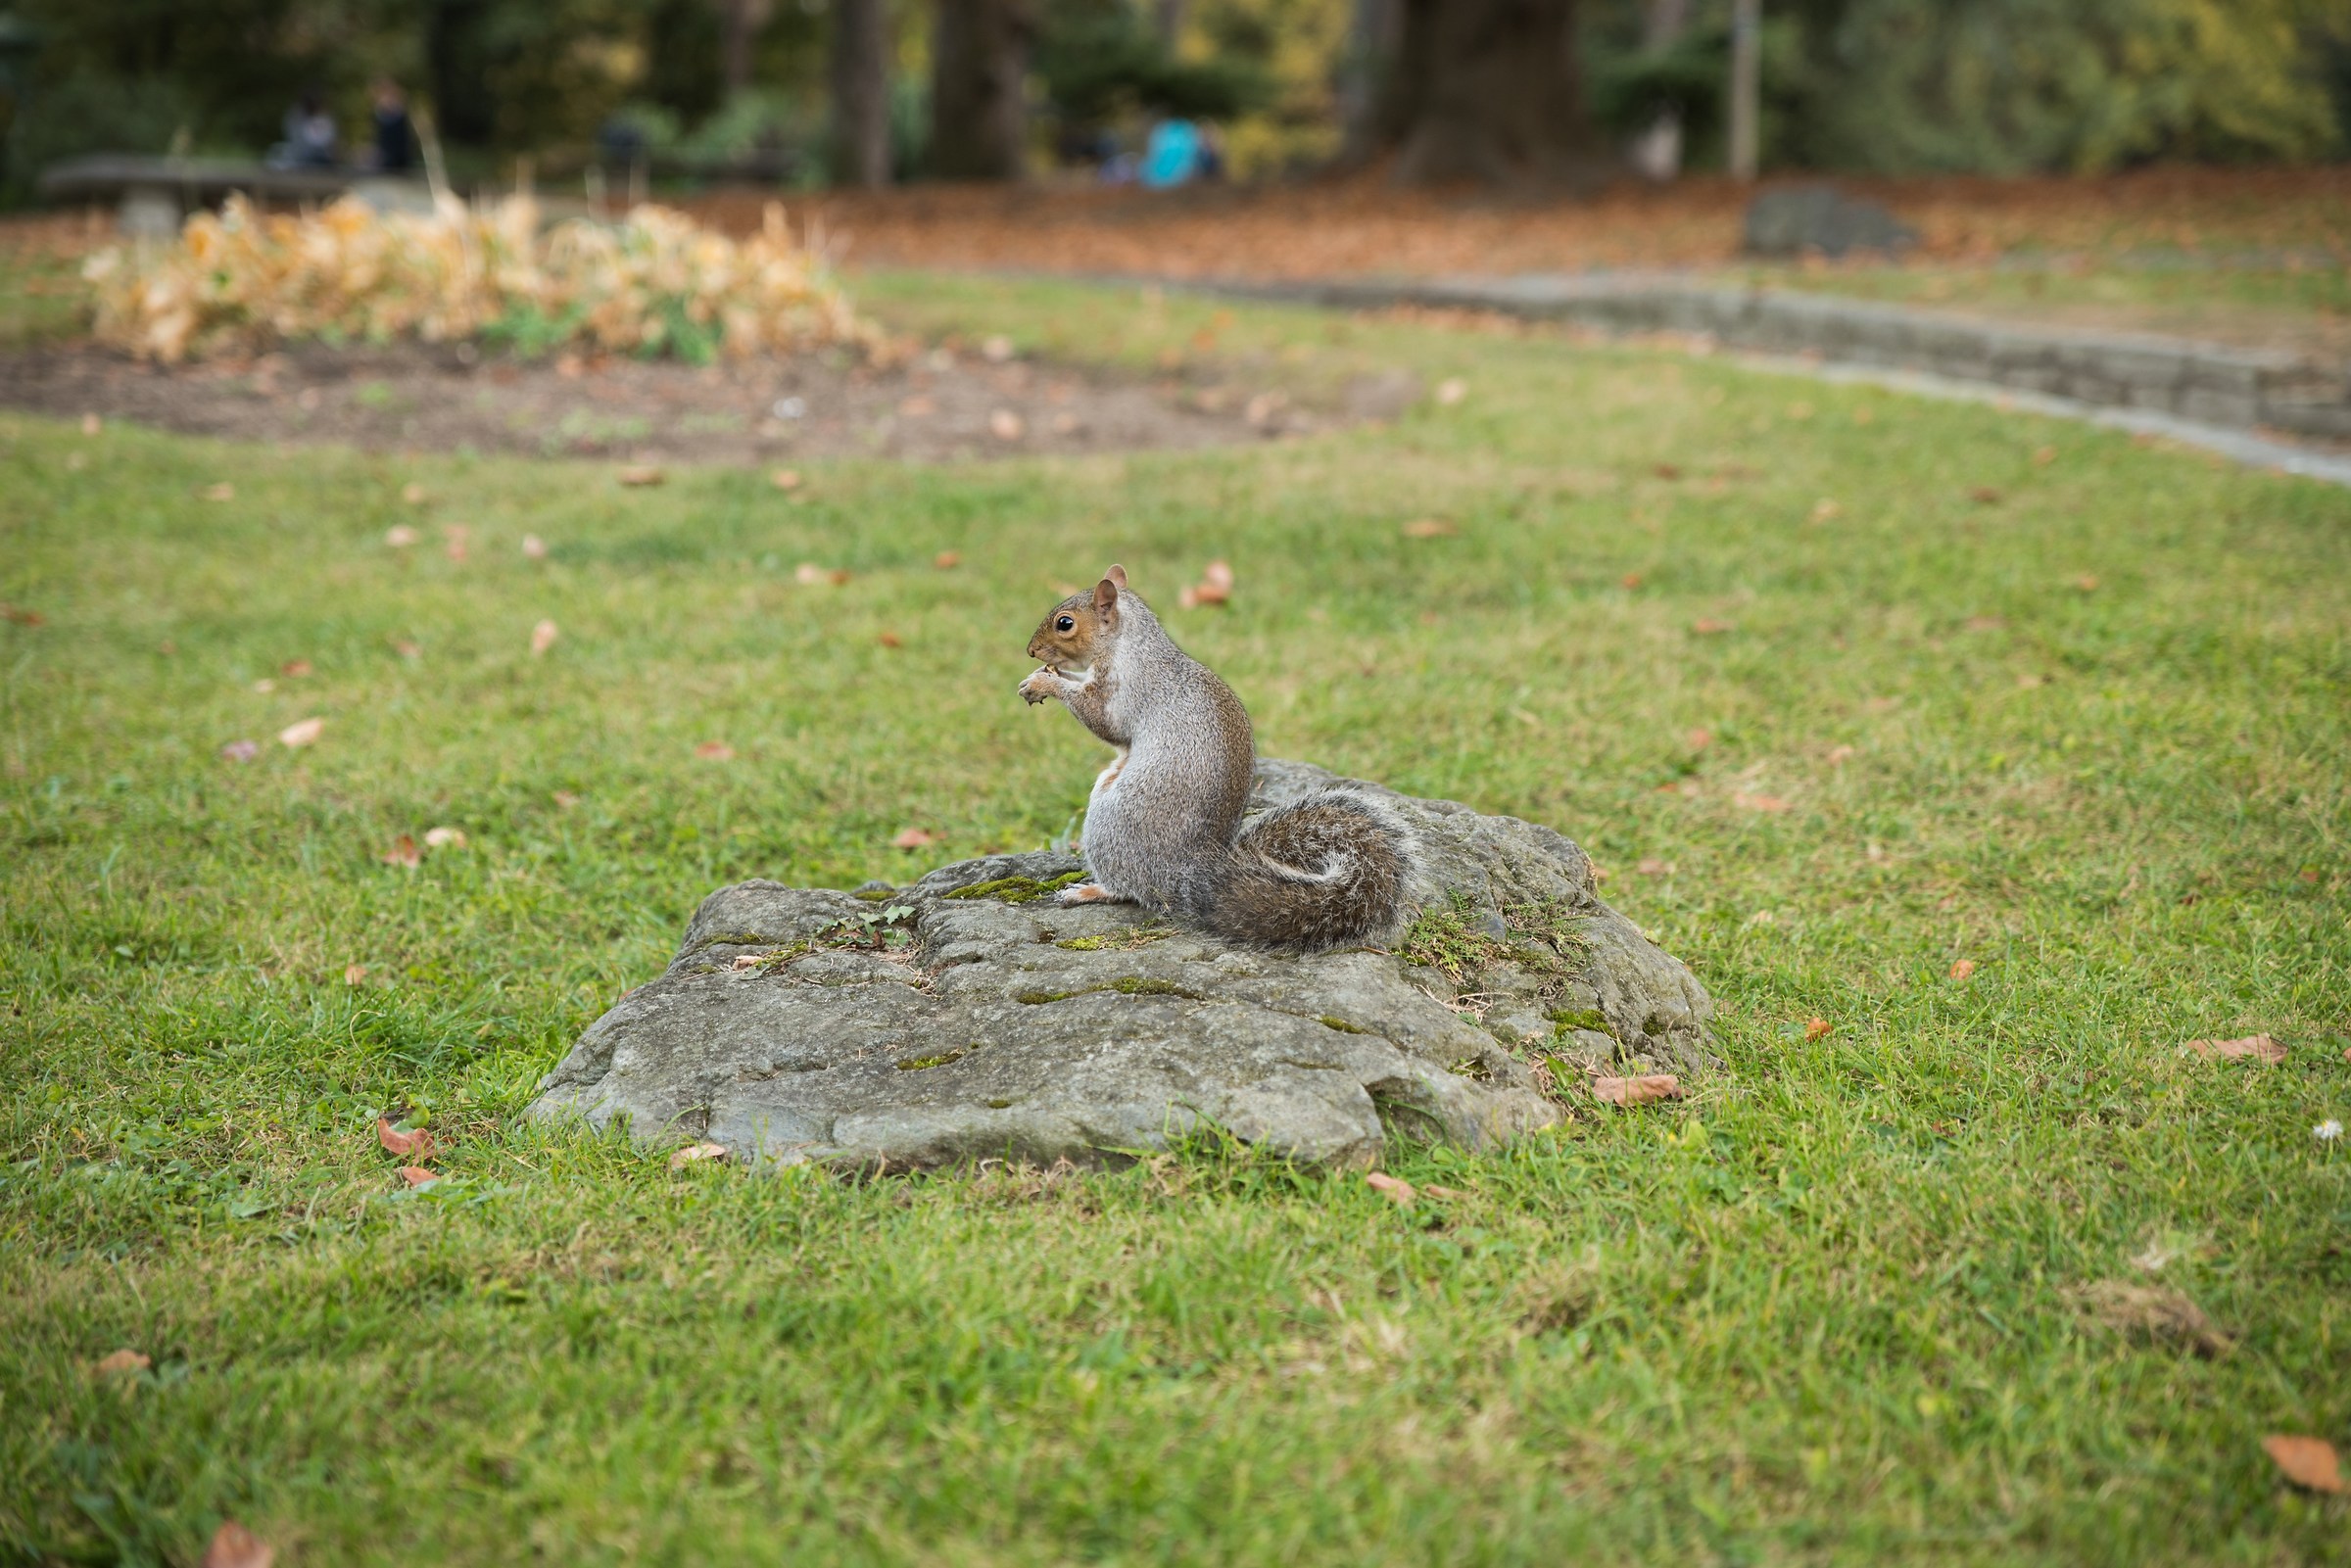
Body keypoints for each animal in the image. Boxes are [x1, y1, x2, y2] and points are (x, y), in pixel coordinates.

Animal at [1018, 564, 1412, 951]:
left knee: (1129, 888)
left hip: (1111, 822)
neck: (1131, 644)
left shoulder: (1125, 690)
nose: (1031, 651)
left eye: (1065, 623)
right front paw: (1043, 676)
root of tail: (1187, 876)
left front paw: (1045, 683)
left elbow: (1103, 721)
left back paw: (1088, 890)